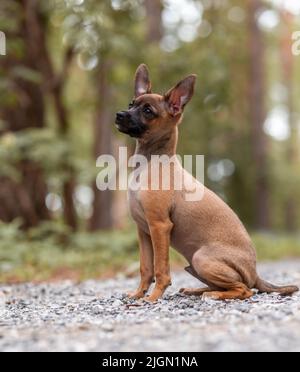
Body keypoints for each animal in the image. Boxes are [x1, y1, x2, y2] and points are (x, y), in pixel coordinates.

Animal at [114, 64, 298, 302]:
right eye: (131, 104)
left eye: (148, 111)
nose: (119, 115)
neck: (150, 164)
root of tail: (255, 273)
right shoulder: (144, 231)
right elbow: (145, 267)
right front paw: (138, 294)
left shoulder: (159, 226)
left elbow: (160, 269)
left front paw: (152, 298)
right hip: (193, 265)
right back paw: (197, 290)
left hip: (202, 258)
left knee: (244, 290)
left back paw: (214, 295)